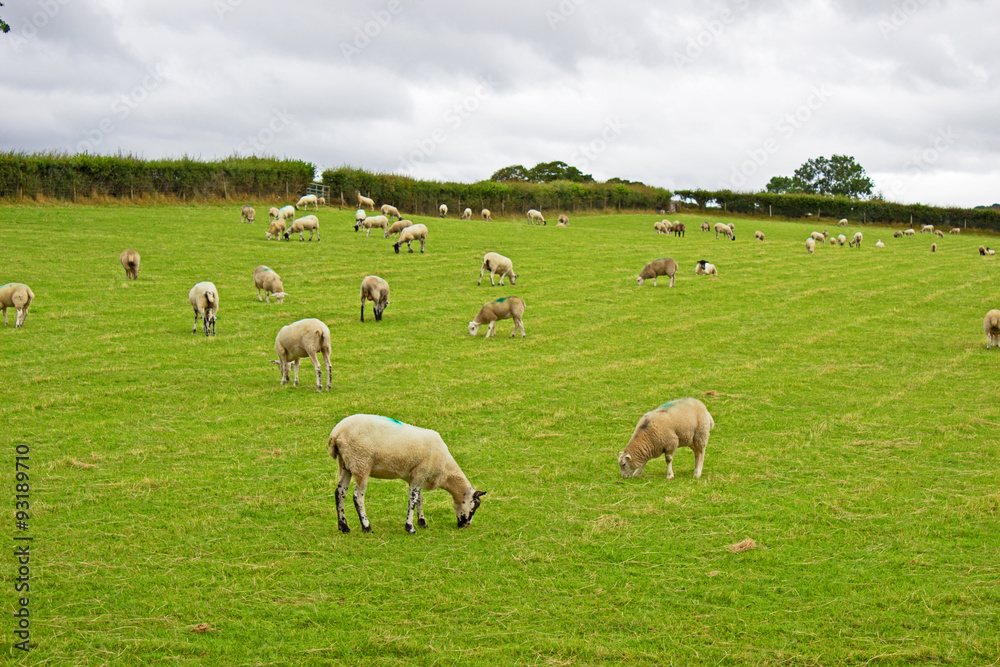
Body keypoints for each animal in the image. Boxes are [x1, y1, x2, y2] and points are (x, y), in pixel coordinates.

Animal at [326, 414, 486, 536]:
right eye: (475, 506)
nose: (465, 526)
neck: (446, 471)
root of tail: (336, 433)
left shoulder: (417, 477)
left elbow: (419, 499)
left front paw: (422, 522)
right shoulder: (420, 474)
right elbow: (413, 501)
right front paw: (410, 528)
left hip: (345, 464)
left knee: (339, 493)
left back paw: (344, 527)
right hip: (361, 463)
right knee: (358, 497)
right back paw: (366, 526)